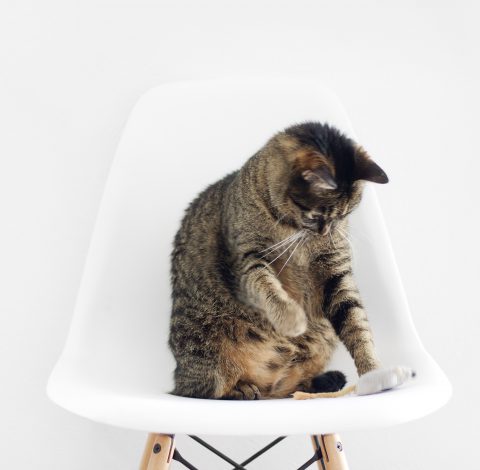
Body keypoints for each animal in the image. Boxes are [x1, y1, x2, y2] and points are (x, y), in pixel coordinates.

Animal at [168, 121, 388, 399]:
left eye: (343, 215)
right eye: (316, 215)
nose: (326, 232)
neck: (296, 233)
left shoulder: (336, 272)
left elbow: (357, 325)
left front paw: (374, 371)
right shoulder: (248, 261)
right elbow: (267, 287)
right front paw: (291, 318)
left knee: (292, 386)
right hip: (205, 351)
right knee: (205, 391)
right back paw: (242, 389)